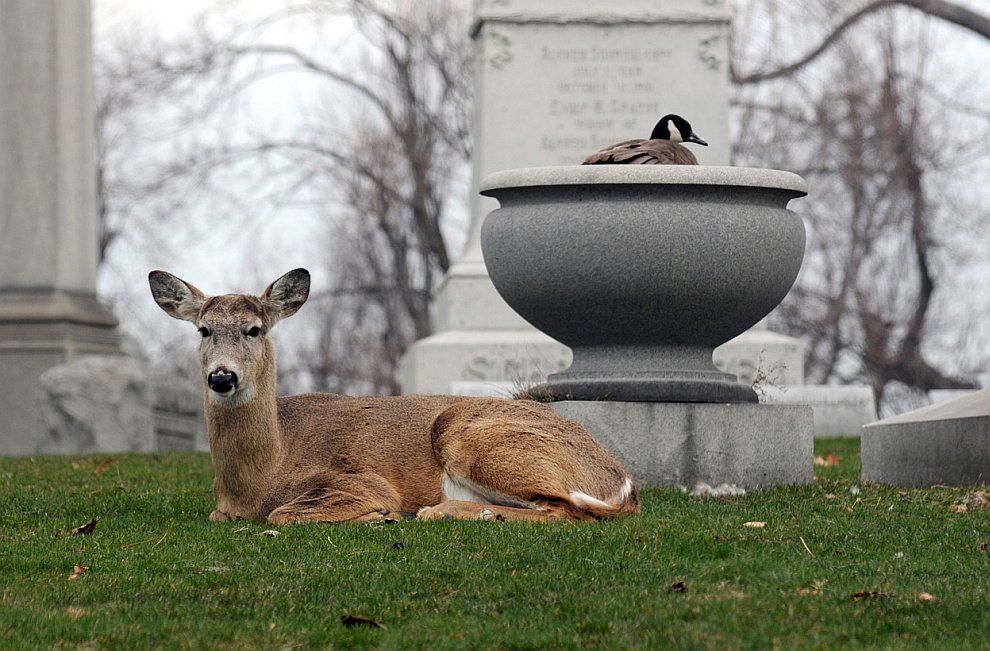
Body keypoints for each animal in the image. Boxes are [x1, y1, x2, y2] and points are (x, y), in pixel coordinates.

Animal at [148, 266, 644, 524]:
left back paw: (436, 512)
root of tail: (623, 481)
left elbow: (282, 514)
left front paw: (380, 516)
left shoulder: (358, 478)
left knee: (563, 511)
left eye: (254, 329)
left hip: (472, 436)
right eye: (203, 329)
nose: (222, 377)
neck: (257, 479)